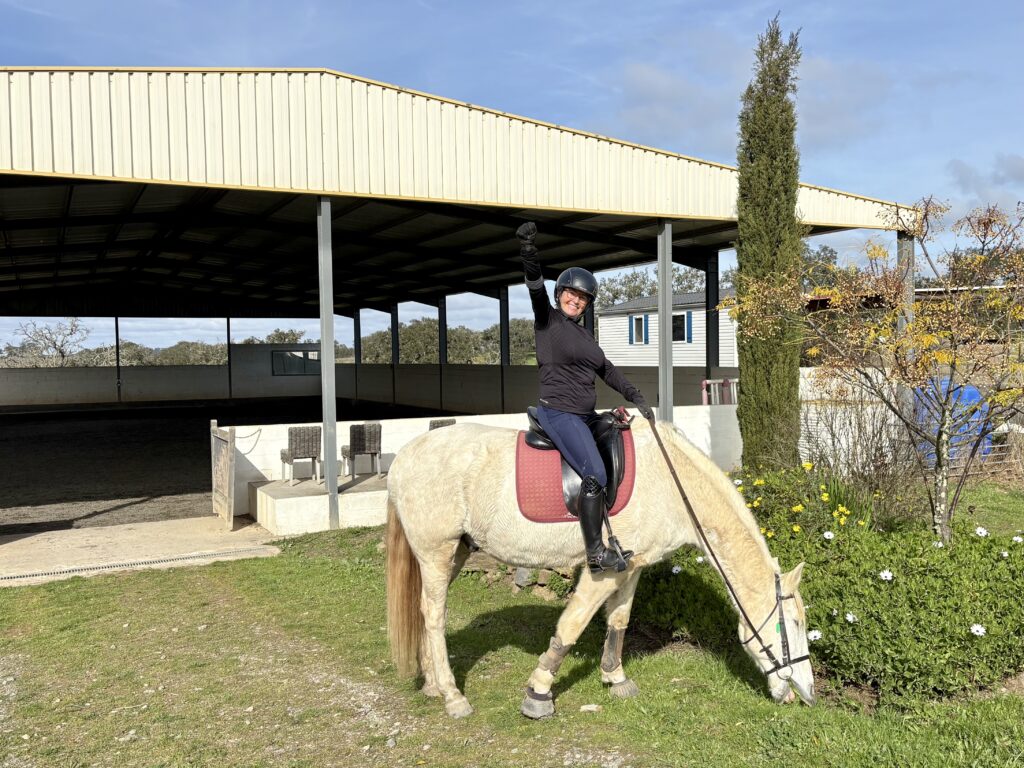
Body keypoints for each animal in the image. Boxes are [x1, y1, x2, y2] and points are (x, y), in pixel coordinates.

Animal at [385, 417, 815, 720]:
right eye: (793, 624)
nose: (806, 693)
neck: (671, 483)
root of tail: (404, 455)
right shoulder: (603, 571)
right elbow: (572, 625)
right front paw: (538, 693)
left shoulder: (633, 567)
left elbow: (618, 620)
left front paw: (615, 677)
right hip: (436, 552)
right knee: (434, 615)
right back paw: (453, 695)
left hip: (456, 552)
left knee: (425, 611)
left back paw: (433, 685)